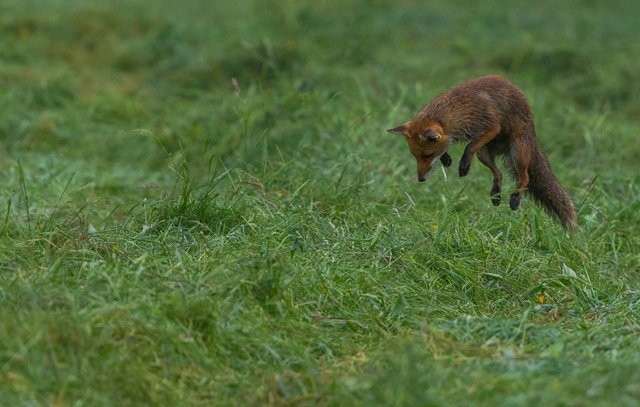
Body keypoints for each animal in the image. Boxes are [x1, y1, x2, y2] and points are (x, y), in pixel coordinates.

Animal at [388, 74, 576, 231]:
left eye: (426, 155)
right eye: (415, 156)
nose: (420, 179)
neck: (456, 111)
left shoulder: (491, 126)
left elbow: (469, 147)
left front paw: (463, 164)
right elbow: (450, 146)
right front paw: (446, 158)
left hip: (518, 152)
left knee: (525, 177)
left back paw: (515, 198)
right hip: (484, 154)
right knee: (499, 174)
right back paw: (496, 194)